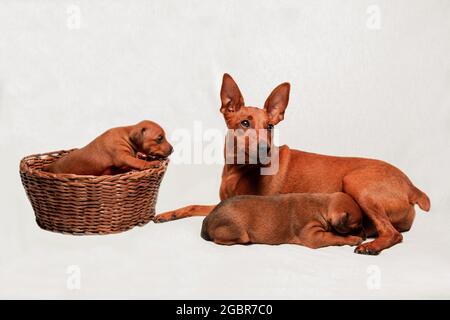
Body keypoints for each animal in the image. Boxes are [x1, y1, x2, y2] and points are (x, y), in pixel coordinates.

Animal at [202, 191, 364, 249]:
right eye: (355, 226)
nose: (365, 235)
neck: (323, 206)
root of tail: (207, 219)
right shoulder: (314, 236)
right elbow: (336, 236)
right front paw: (354, 239)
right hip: (237, 232)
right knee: (221, 239)